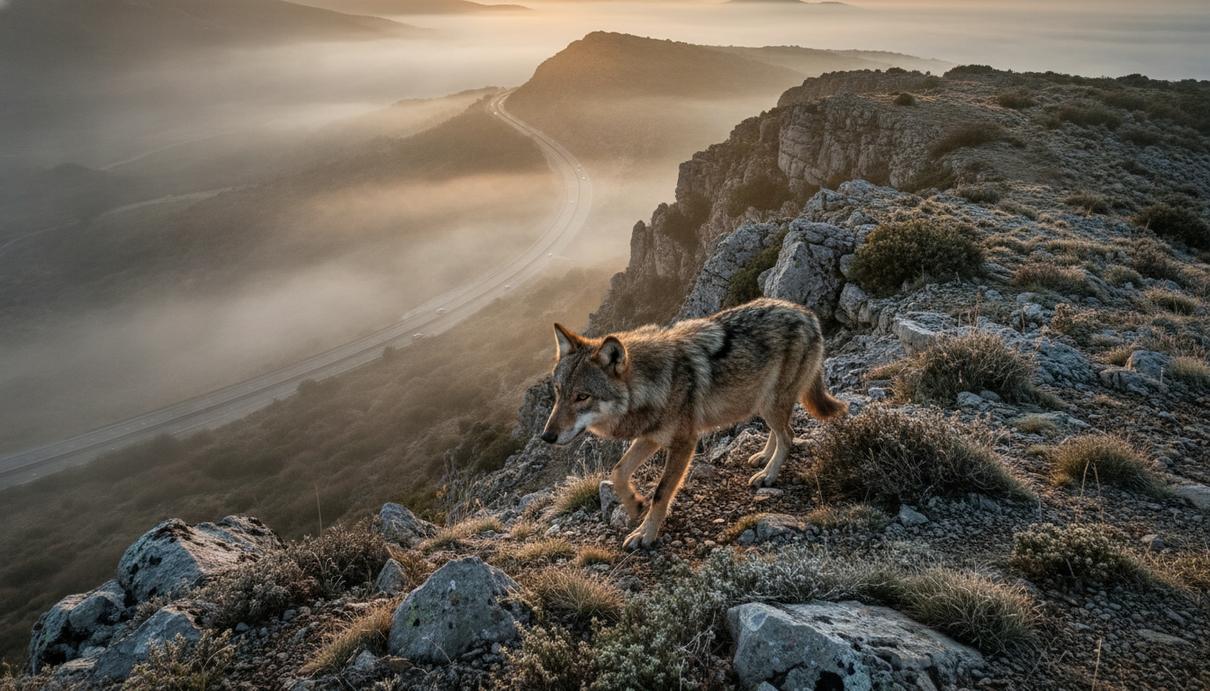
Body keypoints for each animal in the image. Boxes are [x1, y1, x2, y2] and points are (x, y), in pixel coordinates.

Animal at [540, 298, 847, 549]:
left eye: (582, 396)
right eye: (558, 391)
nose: (547, 436)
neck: (654, 383)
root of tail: (807, 314)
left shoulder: (684, 443)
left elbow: (661, 493)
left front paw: (645, 535)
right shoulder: (650, 437)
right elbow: (618, 472)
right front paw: (635, 505)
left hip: (771, 402)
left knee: (789, 435)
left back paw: (769, 475)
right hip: (761, 402)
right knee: (780, 431)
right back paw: (763, 458)